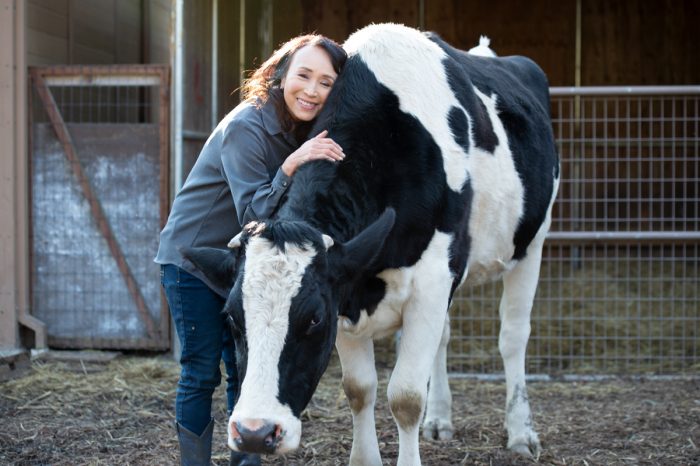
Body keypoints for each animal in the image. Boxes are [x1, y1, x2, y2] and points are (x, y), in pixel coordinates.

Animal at [183, 22, 560, 466]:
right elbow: (360, 389)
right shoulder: (349, 284)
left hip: (532, 242)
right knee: (444, 338)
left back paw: (521, 433)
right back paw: (440, 421)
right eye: (231, 317)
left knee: (513, 335)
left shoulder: (428, 280)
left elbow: (406, 397)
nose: (255, 432)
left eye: (313, 319)